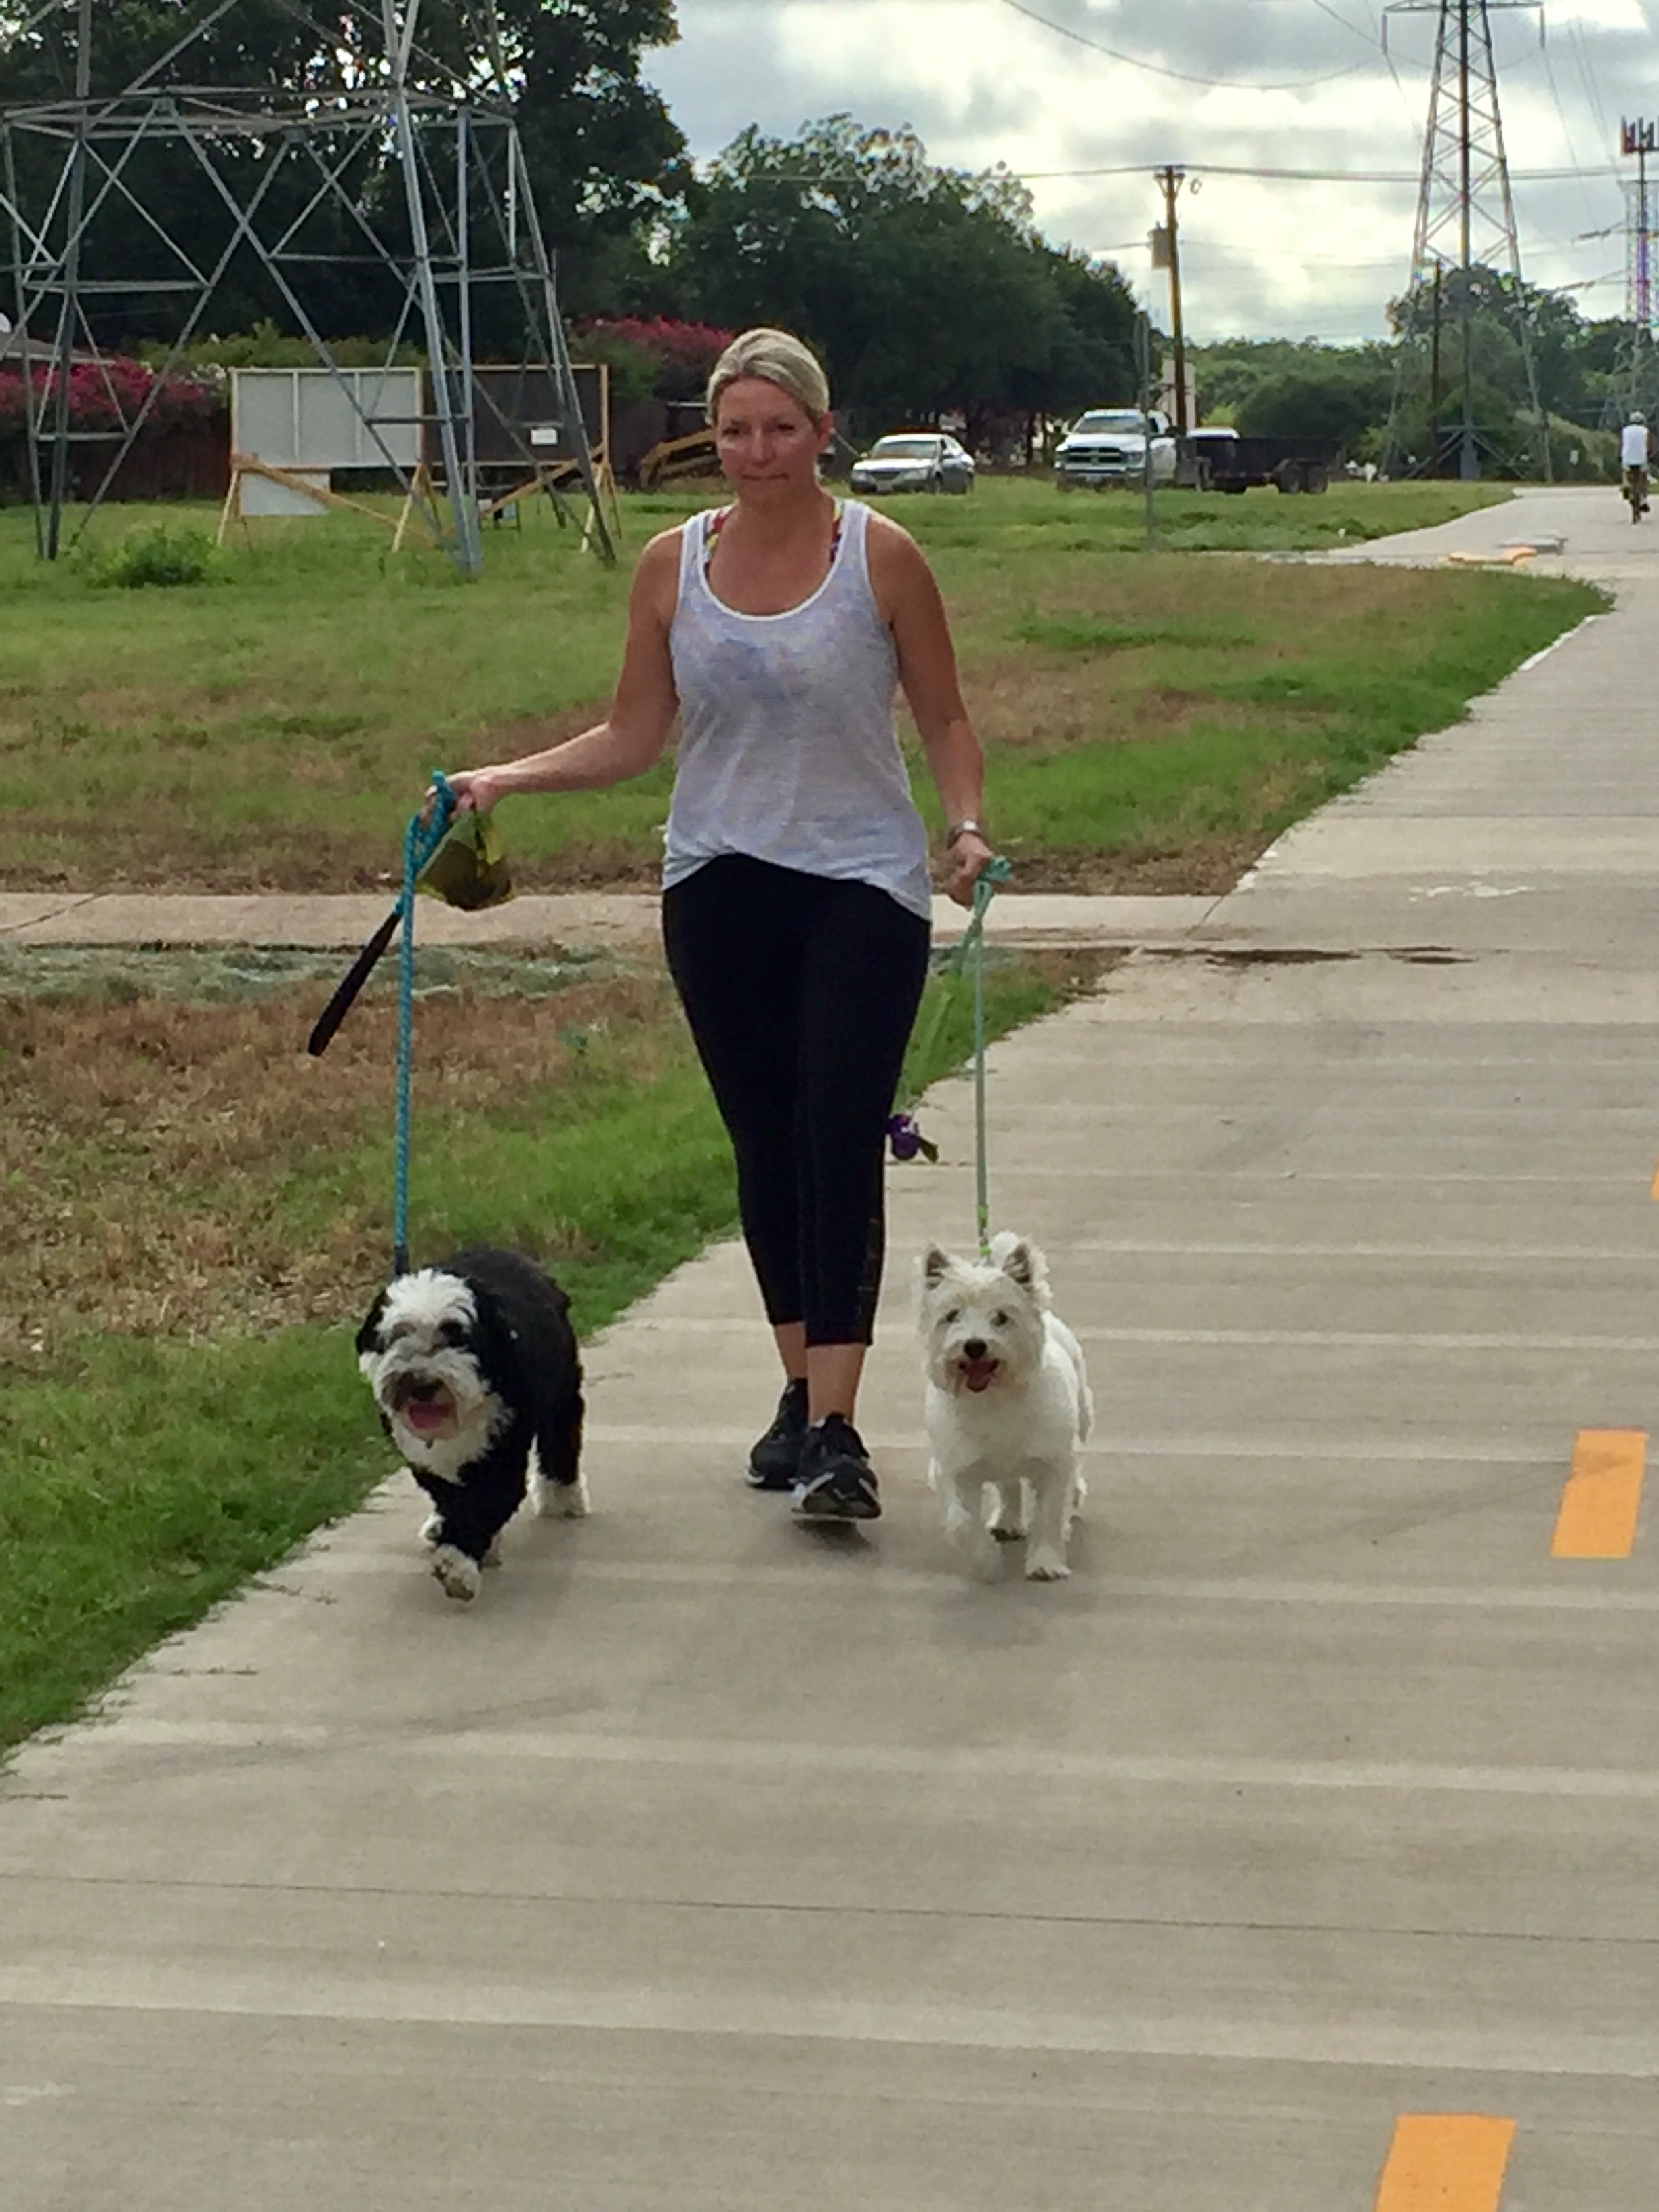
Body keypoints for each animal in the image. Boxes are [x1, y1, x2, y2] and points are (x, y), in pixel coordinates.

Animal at [354, 1247, 588, 1610]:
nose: (421, 1383)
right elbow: (450, 1497)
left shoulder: (501, 1456)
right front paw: (453, 1530)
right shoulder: (427, 1462)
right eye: (398, 1334)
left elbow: (483, 1505)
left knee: (561, 1437)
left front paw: (458, 1565)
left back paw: (563, 1498)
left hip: (562, 1390)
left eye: (456, 1336)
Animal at [916, 1238, 1097, 1584]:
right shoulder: (954, 1469)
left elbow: (1049, 1515)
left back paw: (1076, 1493)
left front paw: (1045, 1563)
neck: (995, 1399)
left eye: (1001, 1317)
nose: (975, 1346)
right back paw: (1006, 1522)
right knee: (1009, 1486)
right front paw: (986, 1562)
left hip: (1081, 1415)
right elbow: (961, 1522)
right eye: (952, 1315)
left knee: (1075, 1460)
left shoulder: (1052, 1464)